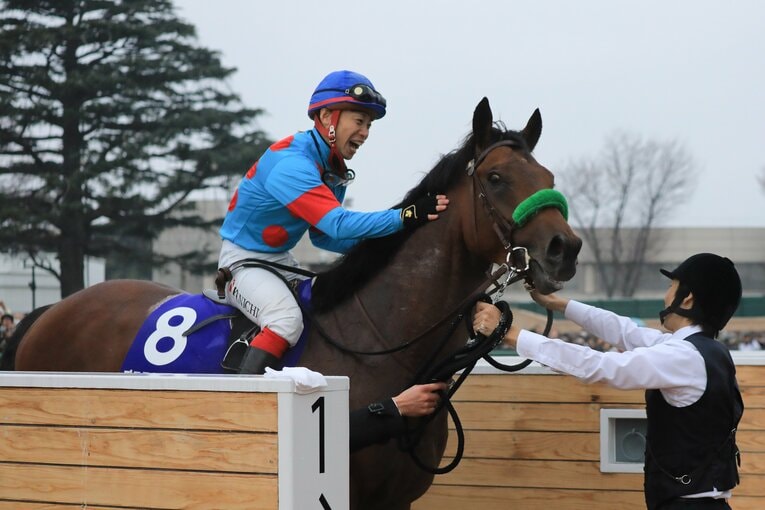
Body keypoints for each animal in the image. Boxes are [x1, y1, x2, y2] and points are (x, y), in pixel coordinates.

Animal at [11, 98, 582, 510]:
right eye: (496, 177)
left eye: (549, 179)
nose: (566, 249)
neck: (380, 343)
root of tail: (51, 310)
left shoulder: (394, 501)